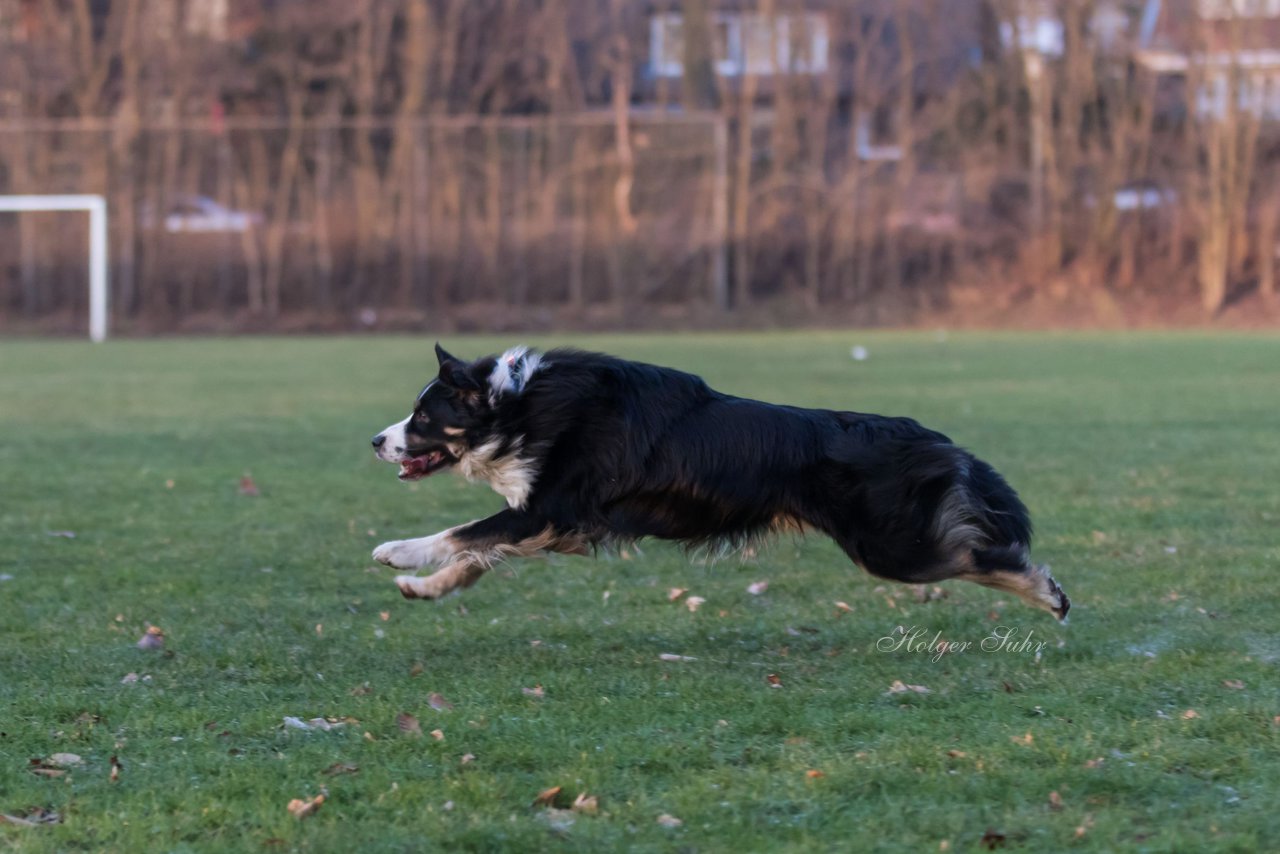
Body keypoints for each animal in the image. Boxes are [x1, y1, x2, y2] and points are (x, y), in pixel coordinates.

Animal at [373, 345, 1070, 622]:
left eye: (423, 417)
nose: (376, 440)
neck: (517, 406)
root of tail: (932, 436)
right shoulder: (556, 523)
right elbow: (478, 554)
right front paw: (425, 587)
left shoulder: (548, 508)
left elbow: (461, 532)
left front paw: (399, 553)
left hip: (893, 547)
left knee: (983, 554)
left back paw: (1049, 594)